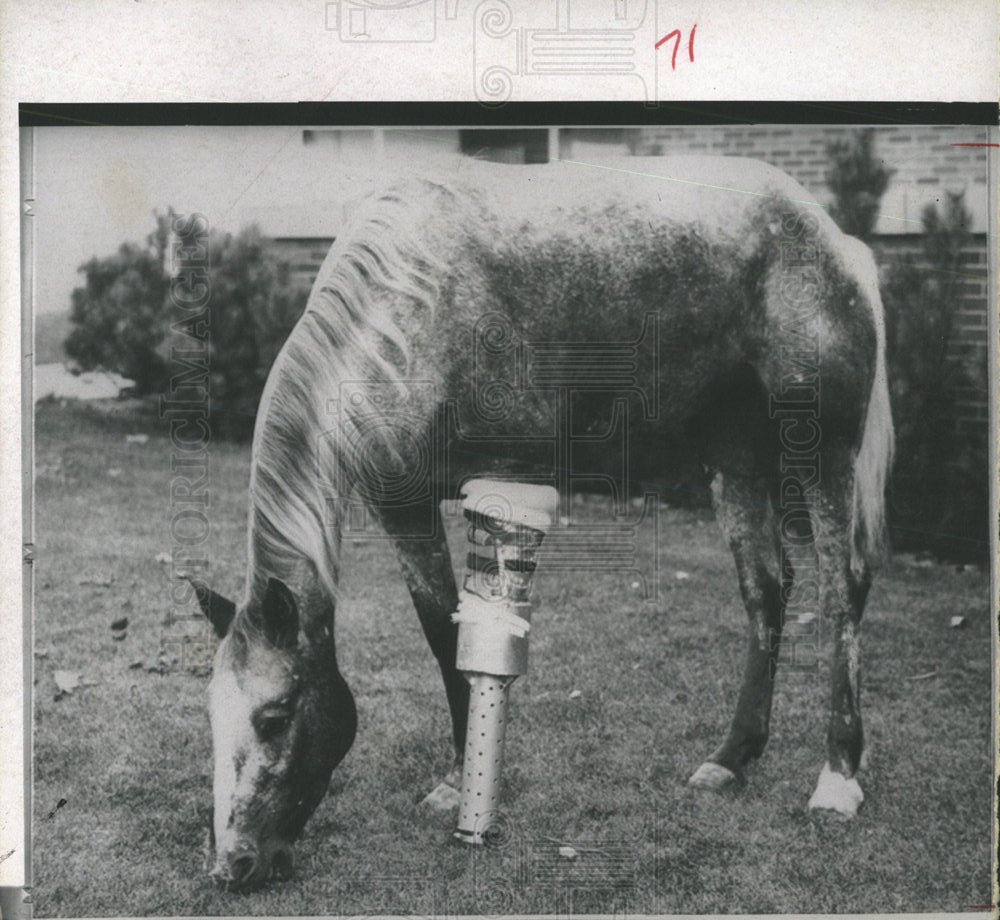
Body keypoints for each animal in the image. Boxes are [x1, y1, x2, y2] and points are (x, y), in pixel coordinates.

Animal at [188, 155, 892, 888]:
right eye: (211, 715)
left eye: (275, 717)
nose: (232, 863)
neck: (405, 315)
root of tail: (834, 238)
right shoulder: (405, 503)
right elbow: (445, 628)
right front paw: (458, 777)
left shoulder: (467, 492)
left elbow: (451, 632)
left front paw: (463, 779)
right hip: (738, 459)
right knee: (765, 594)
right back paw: (731, 758)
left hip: (822, 455)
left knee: (840, 593)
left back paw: (838, 777)